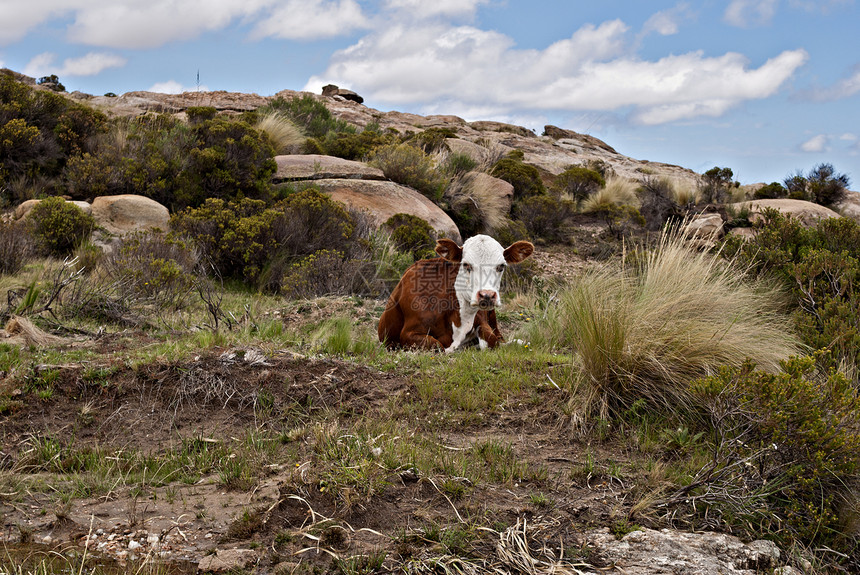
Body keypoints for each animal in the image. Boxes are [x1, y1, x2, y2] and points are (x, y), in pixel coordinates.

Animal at [378, 234, 536, 352]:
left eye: (501, 266)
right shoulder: (408, 333)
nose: (487, 295)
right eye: (466, 264)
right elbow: (436, 346)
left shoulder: (482, 321)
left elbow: (492, 341)